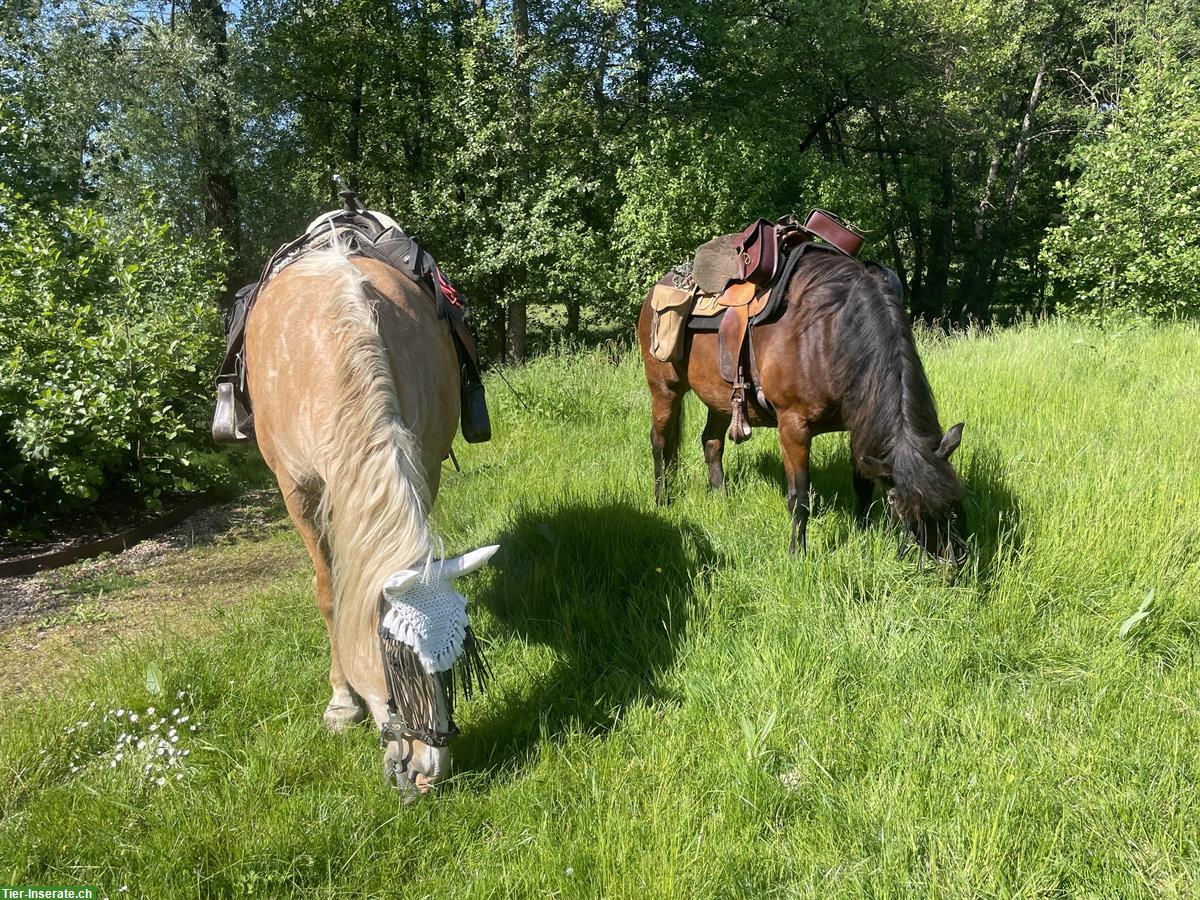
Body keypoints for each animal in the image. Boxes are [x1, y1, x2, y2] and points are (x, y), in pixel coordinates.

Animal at [246, 241, 495, 796]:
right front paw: (342, 701)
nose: (428, 772)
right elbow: (330, 593)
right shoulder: (298, 492)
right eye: (396, 663)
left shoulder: (423, 464)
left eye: (454, 663)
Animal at [637, 249, 968, 563]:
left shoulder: (856, 423)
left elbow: (861, 484)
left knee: (711, 442)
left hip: (718, 399)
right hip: (665, 389)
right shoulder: (793, 427)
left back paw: (722, 498)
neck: (827, 334)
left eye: (955, 503)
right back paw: (662, 500)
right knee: (660, 442)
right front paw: (797, 553)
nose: (952, 564)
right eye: (906, 511)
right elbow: (799, 497)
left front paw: (861, 532)